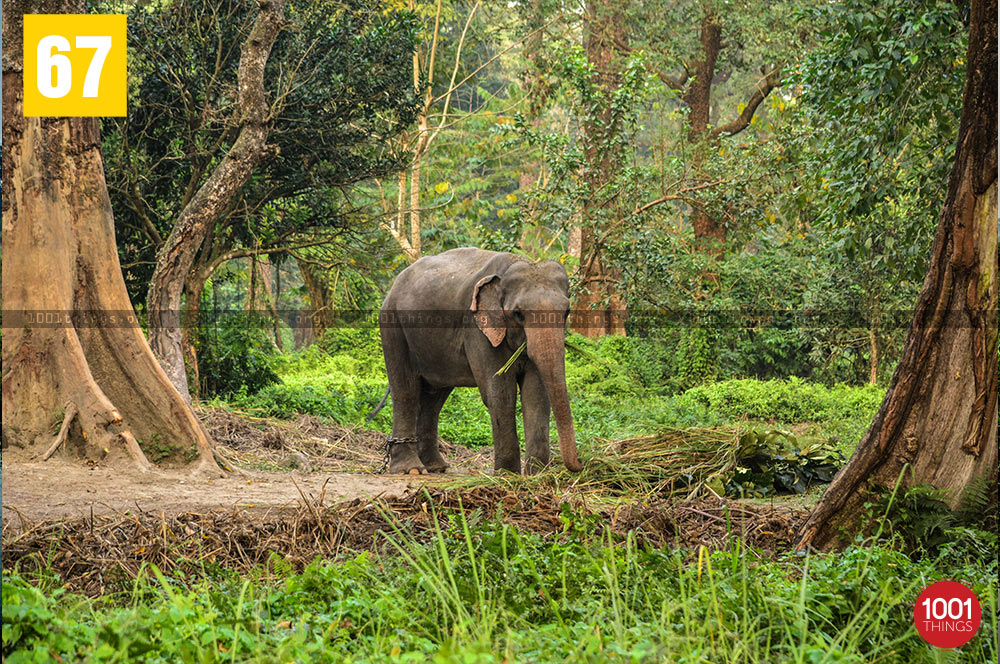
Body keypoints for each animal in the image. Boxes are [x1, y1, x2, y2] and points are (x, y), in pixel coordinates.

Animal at [378, 246, 584, 474]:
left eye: (566, 312)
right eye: (518, 313)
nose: (580, 465)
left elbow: (536, 394)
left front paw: (536, 475)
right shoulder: (477, 329)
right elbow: (500, 394)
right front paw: (507, 474)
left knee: (434, 396)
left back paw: (436, 467)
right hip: (393, 326)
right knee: (405, 391)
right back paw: (411, 469)